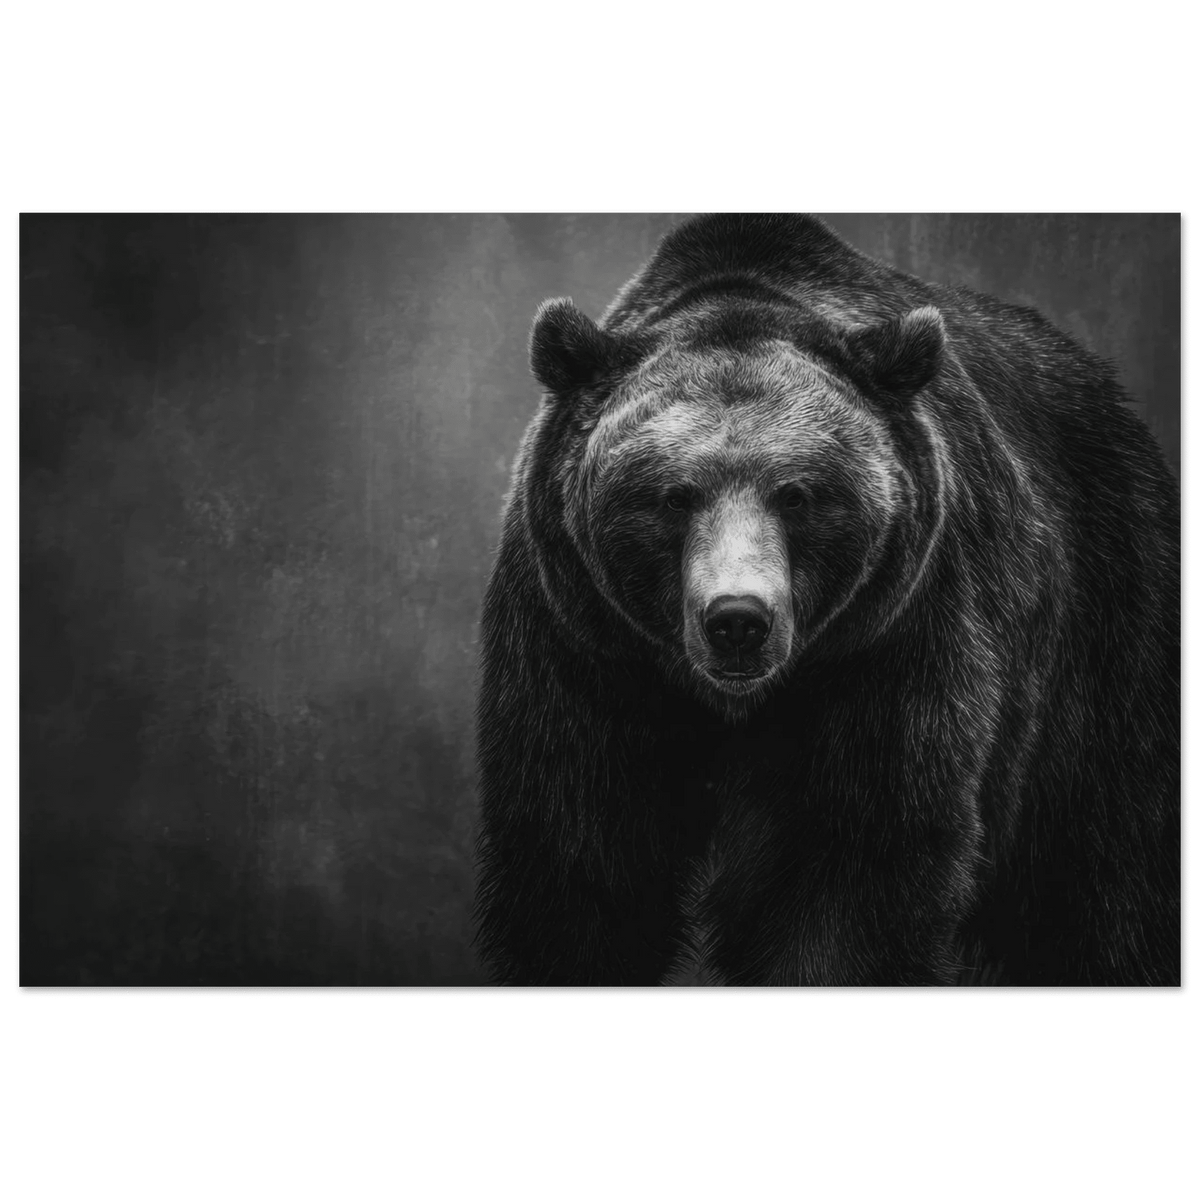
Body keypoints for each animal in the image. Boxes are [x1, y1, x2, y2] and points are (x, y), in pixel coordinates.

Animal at [473, 212, 1181, 988]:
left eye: (798, 494)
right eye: (672, 496)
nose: (738, 621)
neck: (737, 705)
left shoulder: (890, 643)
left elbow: (848, 871)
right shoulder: (583, 648)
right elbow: (581, 860)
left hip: (1105, 626)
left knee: (1104, 871)